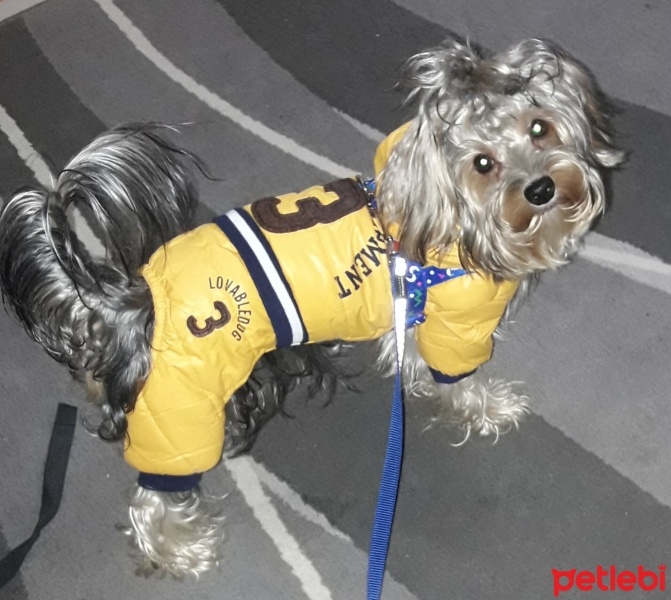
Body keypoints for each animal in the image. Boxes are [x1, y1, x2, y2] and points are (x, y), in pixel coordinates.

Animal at [0, 36, 624, 576]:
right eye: (484, 165)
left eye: (539, 128)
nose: (541, 188)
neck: (453, 221)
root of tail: (135, 300)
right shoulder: (456, 327)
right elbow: (459, 379)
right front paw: (490, 406)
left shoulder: (413, 316)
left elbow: (410, 356)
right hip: (182, 410)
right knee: (153, 497)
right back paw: (183, 552)